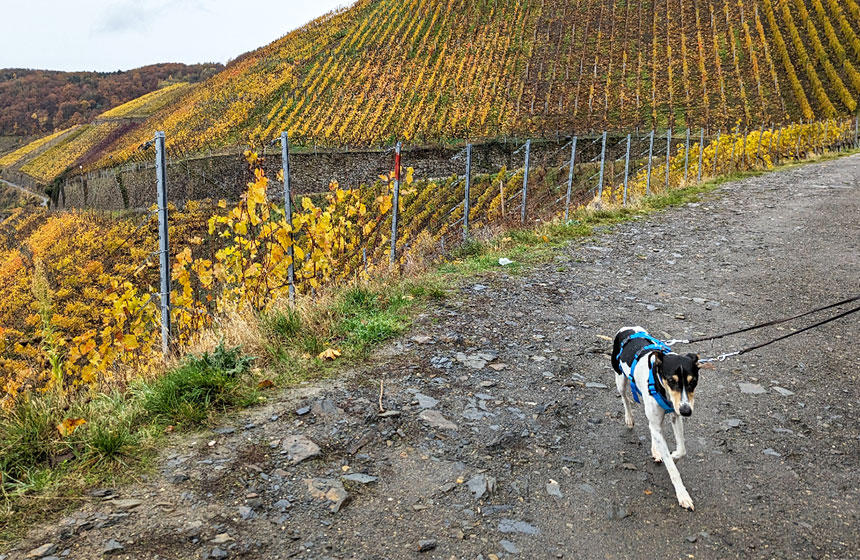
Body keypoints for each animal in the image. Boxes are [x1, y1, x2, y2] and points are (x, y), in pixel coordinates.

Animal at [612, 326, 700, 510]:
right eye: (671, 380)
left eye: (693, 381)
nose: (687, 411)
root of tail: (626, 329)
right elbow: (672, 469)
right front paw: (682, 494)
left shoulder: (675, 415)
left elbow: (682, 450)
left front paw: (672, 455)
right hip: (620, 380)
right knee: (625, 398)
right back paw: (629, 418)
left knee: (652, 427)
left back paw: (656, 449)